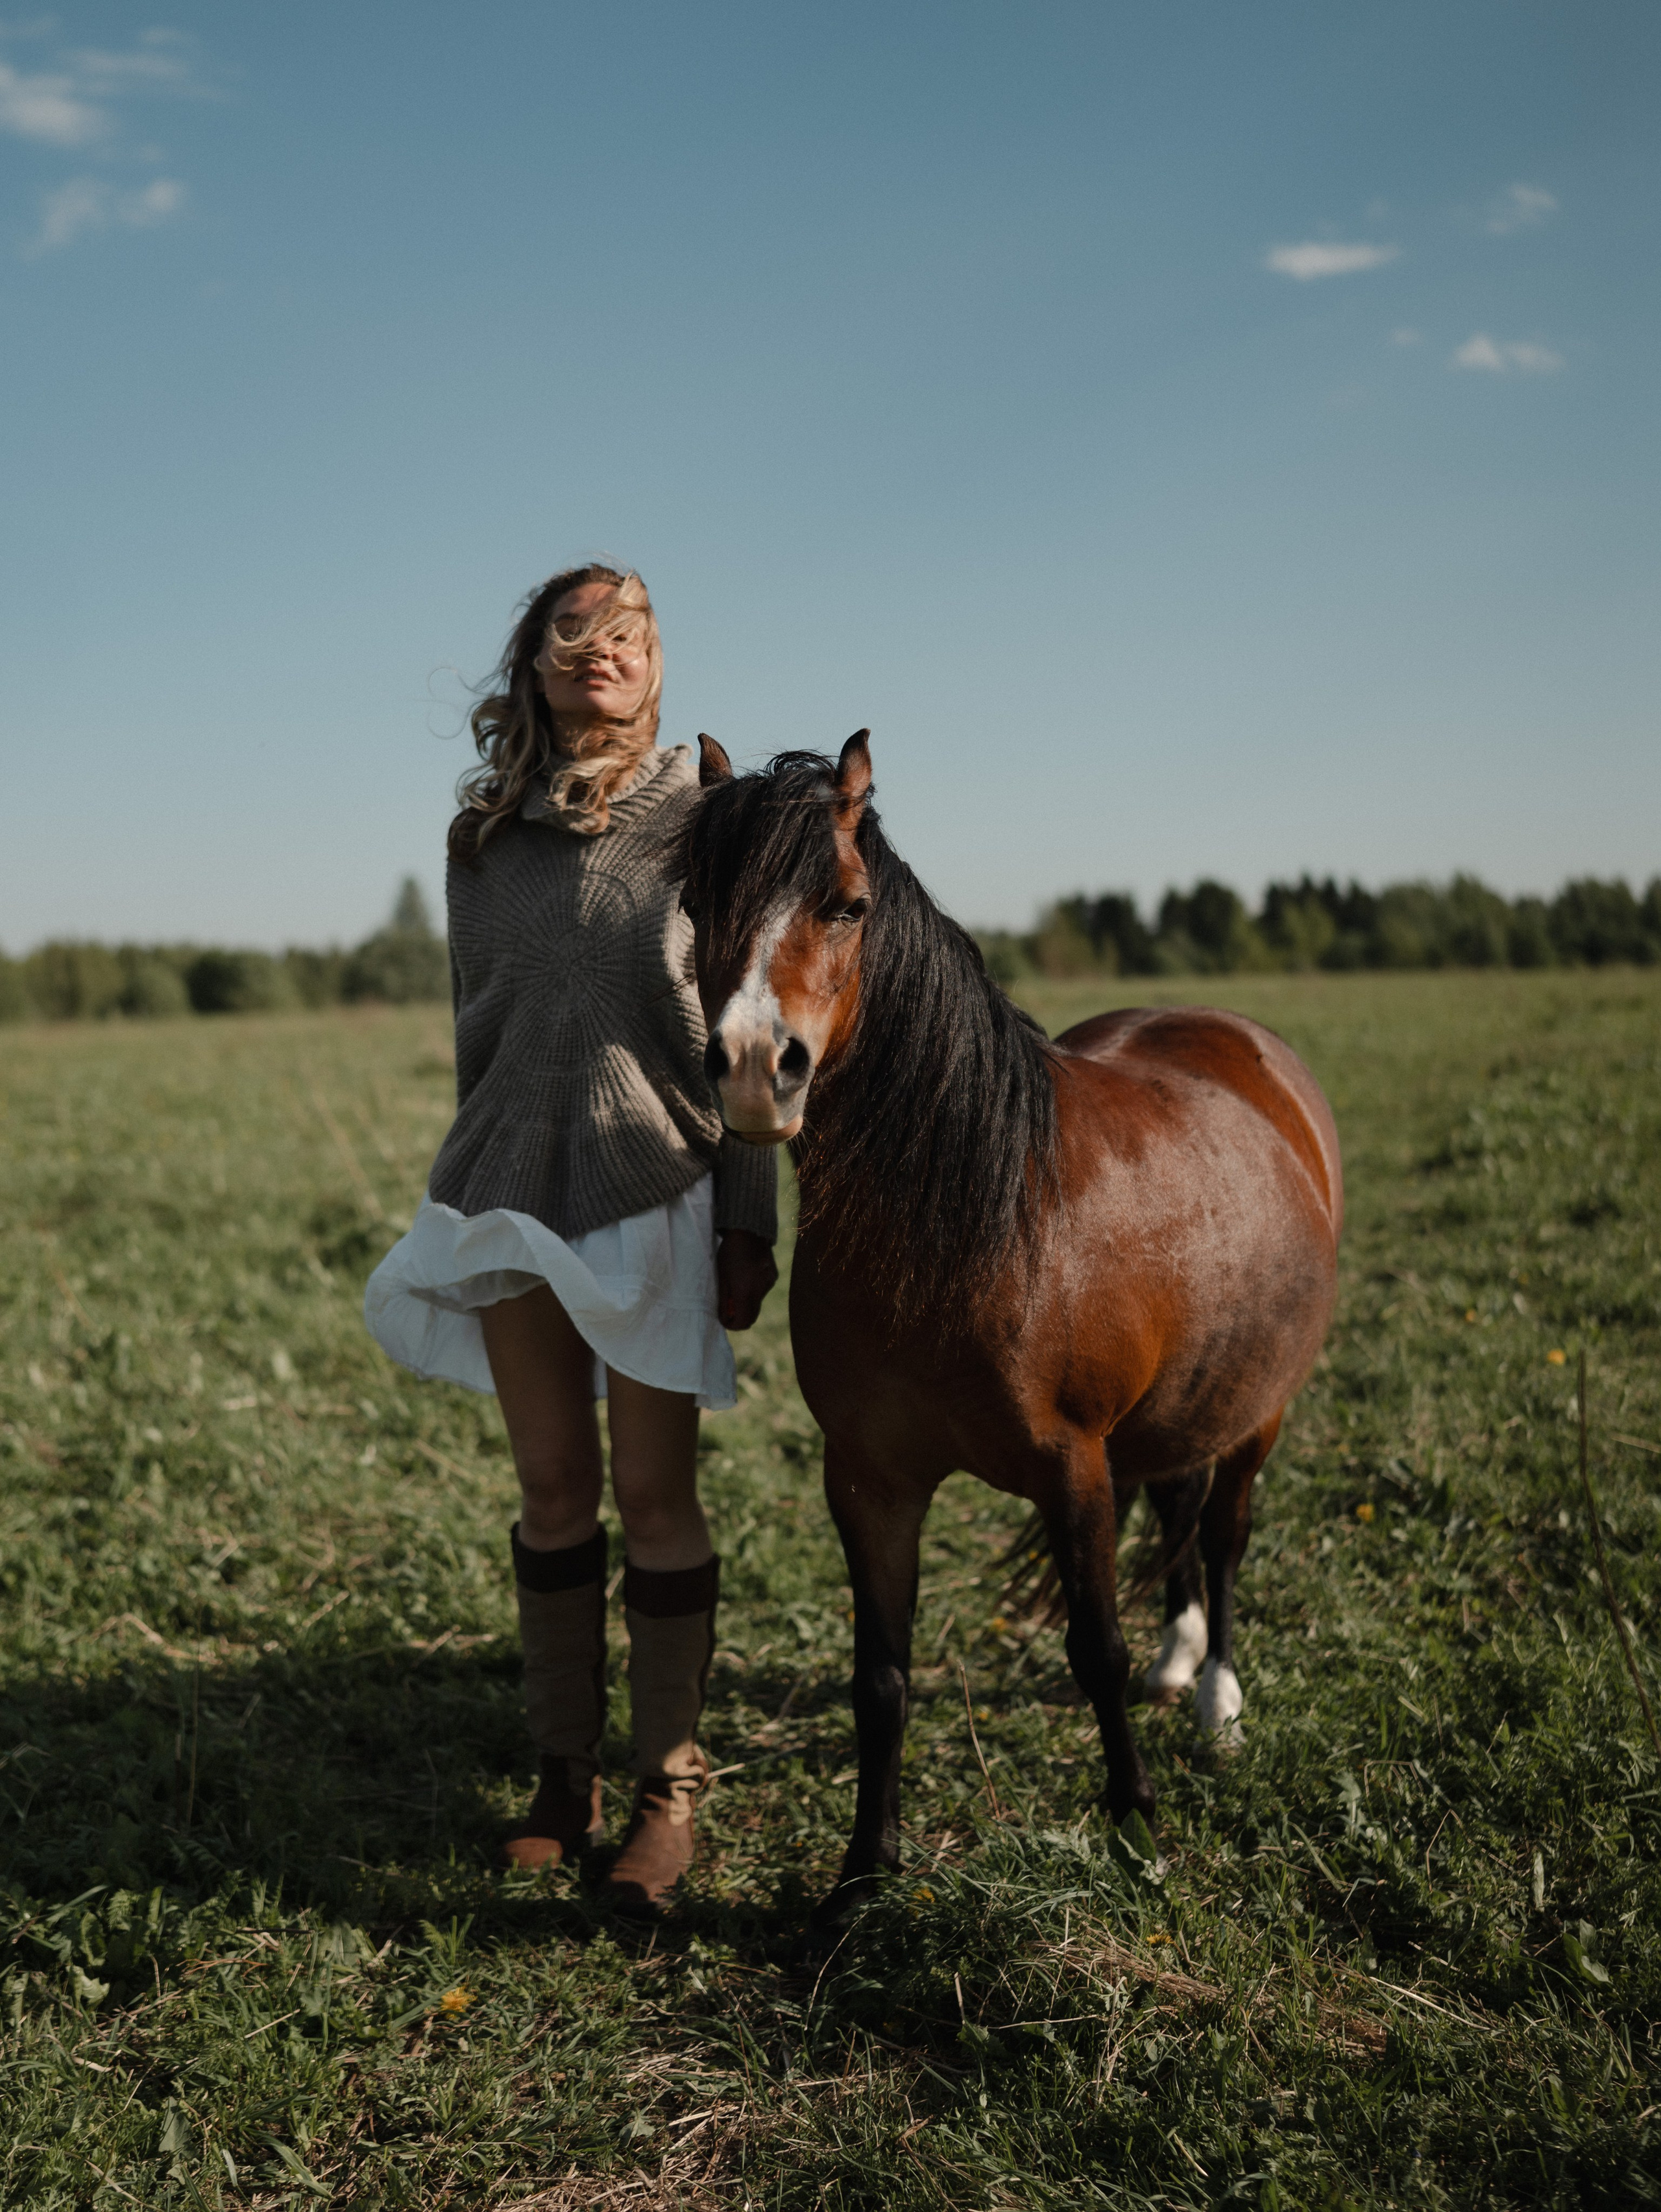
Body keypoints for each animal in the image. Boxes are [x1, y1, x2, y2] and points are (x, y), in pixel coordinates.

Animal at [681, 731, 1342, 1908]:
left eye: (848, 904)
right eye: (697, 902)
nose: (758, 1068)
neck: (960, 1229)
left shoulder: (1074, 1468)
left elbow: (1094, 1650)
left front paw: (1134, 1829)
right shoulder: (869, 1480)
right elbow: (881, 1674)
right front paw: (864, 1871)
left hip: (1258, 1407)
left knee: (1222, 1534)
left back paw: (1216, 1699)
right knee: (1178, 1512)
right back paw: (1183, 1658)